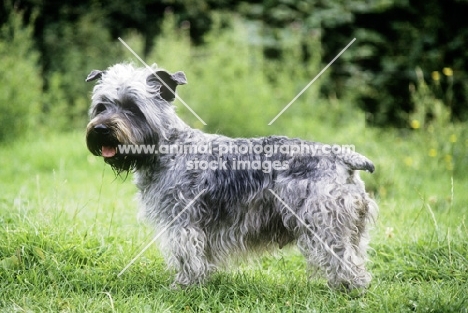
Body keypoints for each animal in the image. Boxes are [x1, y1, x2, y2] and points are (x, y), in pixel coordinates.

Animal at [86, 62, 378, 290]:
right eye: (101, 106)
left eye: (133, 108)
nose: (101, 129)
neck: (169, 146)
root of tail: (342, 158)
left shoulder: (183, 222)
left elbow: (187, 256)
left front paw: (184, 286)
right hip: (351, 230)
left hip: (323, 227)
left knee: (346, 263)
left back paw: (347, 289)